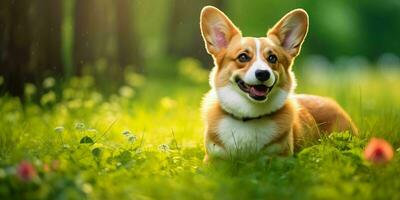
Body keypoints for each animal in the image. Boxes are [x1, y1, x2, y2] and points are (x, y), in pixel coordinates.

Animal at [199, 6, 356, 162]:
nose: (263, 73)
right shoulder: (213, 158)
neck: (249, 117)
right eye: (243, 57)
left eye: (272, 58)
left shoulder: (280, 159)